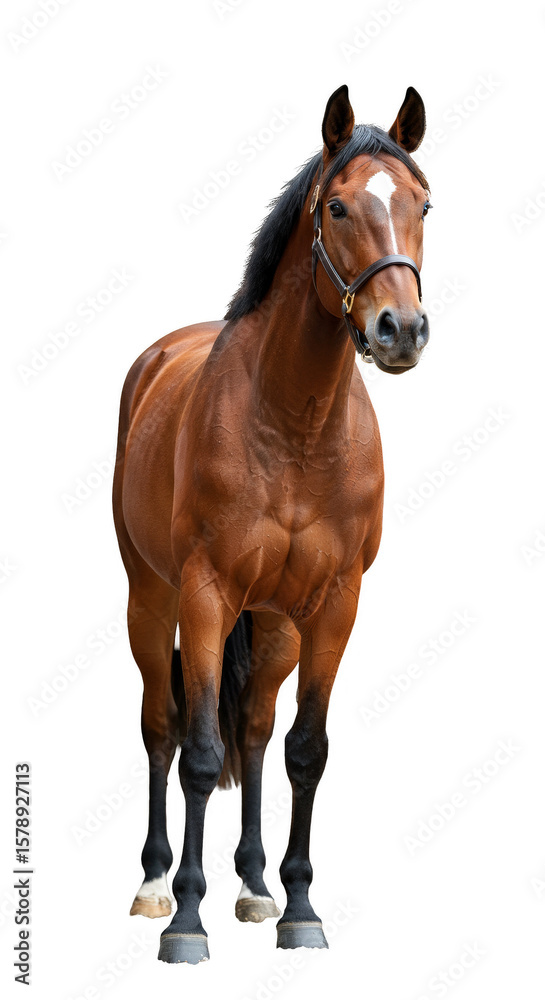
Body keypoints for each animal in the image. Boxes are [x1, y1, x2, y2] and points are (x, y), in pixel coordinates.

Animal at [113, 84, 432, 964]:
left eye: (423, 204)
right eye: (336, 206)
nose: (400, 330)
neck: (293, 423)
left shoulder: (333, 605)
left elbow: (302, 750)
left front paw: (298, 907)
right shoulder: (204, 595)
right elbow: (196, 751)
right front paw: (187, 923)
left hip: (276, 621)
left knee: (255, 730)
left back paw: (253, 886)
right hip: (150, 601)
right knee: (160, 724)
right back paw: (155, 884)